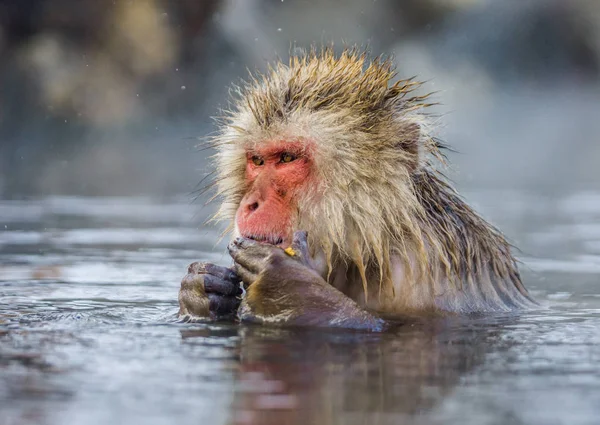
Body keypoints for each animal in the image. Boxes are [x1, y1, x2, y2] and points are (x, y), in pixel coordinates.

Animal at [177, 48, 536, 330]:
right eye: (257, 161)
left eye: (287, 158)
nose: (251, 203)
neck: (373, 241)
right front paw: (202, 289)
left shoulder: (423, 275)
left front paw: (284, 284)